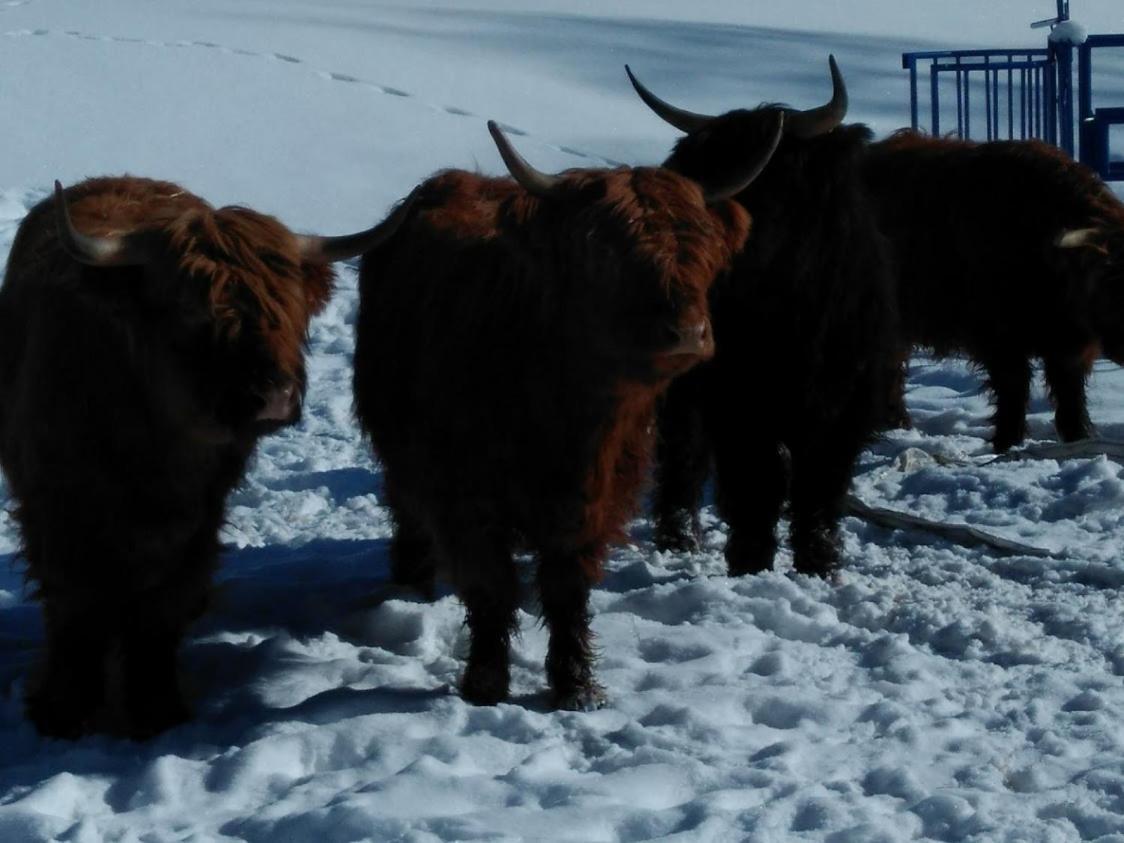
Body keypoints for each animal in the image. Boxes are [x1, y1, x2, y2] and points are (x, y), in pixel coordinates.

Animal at [0, 176, 404, 737]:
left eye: (287, 306)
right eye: (193, 309)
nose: (272, 395)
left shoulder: (197, 520)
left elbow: (161, 608)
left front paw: (157, 710)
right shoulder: (57, 511)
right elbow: (74, 608)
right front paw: (62, 712)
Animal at [352, 121, 782, 710]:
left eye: (701, 244)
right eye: (605, 249)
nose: (688, 333)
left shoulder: (594, 497)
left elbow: (566, 587)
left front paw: (575, 686)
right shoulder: (464, 496)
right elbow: (491, 587)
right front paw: (485, 683)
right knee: (405, 507)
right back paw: (411, 580)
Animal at [629, 56, 899, 579]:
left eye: (769, 180)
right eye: (691, 170)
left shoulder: (843, 409)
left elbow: (819, 485)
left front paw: (819, 562)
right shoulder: (737, 405)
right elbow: (756, 481)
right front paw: (750, 561)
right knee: (682, 458)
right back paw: (678, 539)